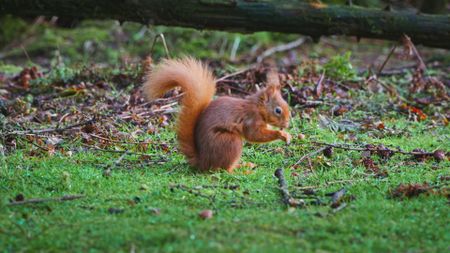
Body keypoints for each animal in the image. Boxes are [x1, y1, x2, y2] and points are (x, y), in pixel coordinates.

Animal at [144, 57, 292, 172]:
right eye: (278, 110)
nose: (286, 123)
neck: (257, 108)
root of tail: (203, 162)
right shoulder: (251, 119)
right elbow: (254, 135)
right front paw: (282, 134)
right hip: (230, 142)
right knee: (223, 169)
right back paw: (241, 170)